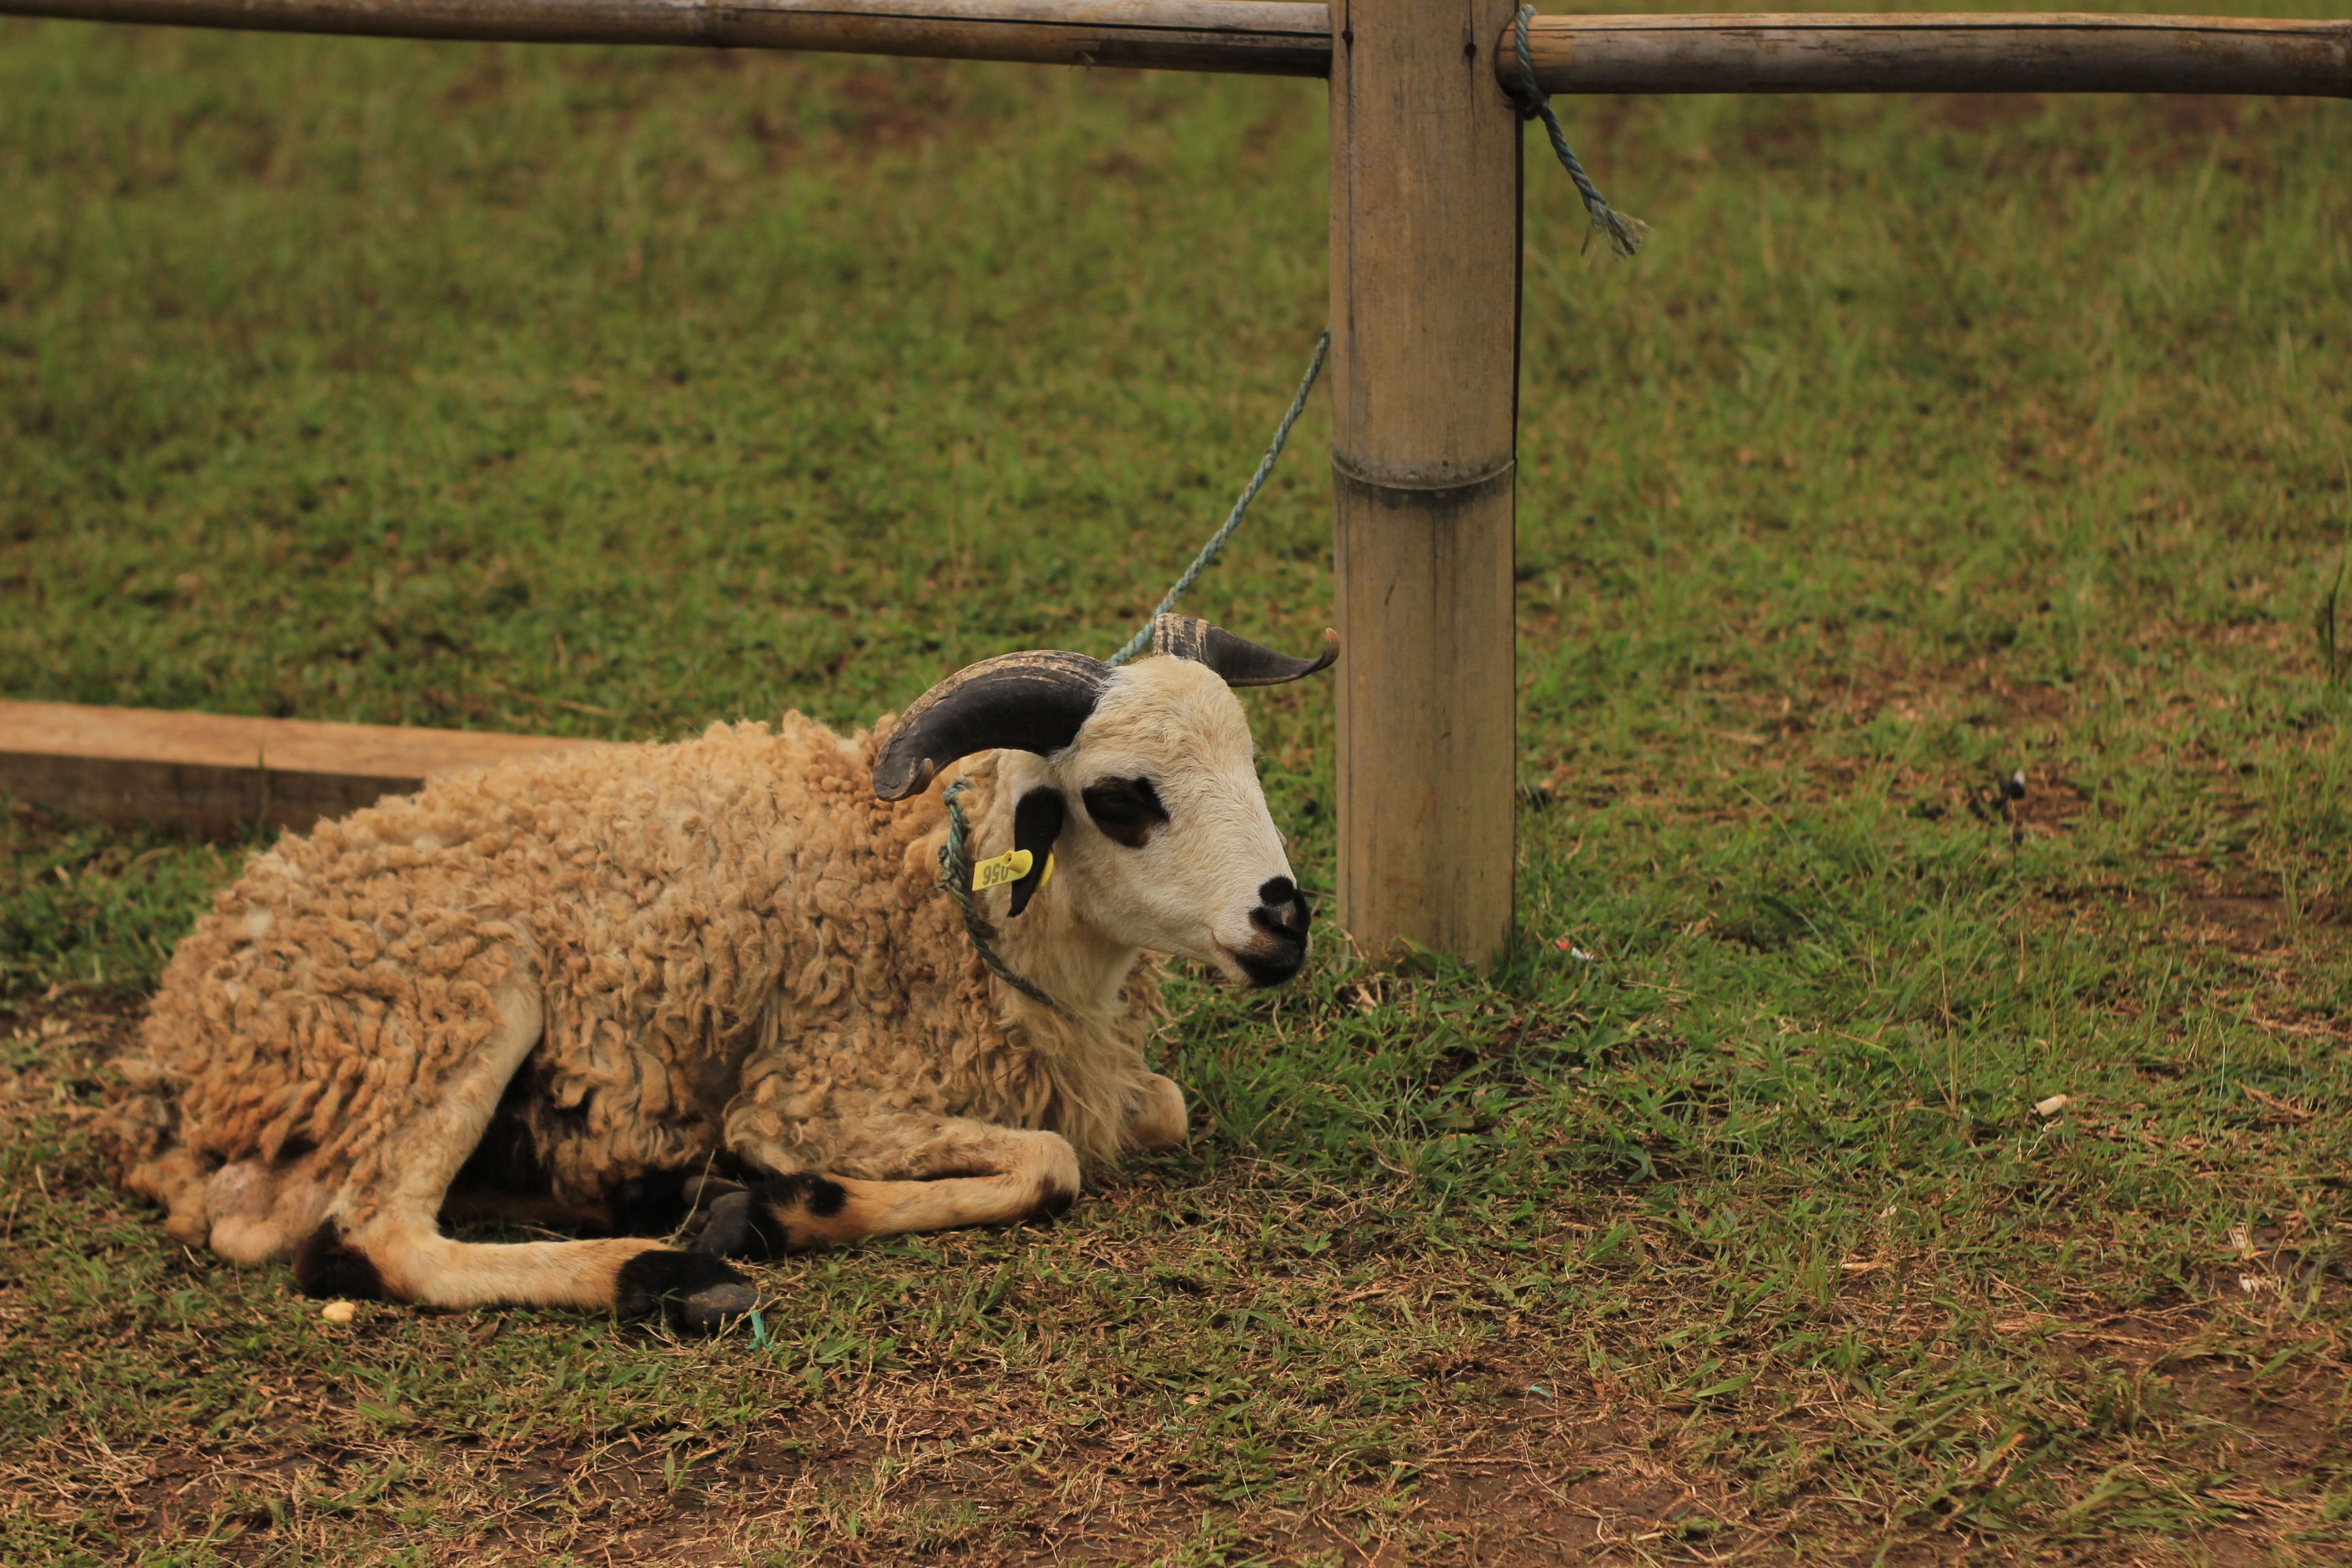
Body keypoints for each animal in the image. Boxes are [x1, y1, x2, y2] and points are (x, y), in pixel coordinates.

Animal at [101, 614, 1335, 1330]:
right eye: (1122, 798)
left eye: (1250, 762)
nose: (1285, 920)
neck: (931, 886)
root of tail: (175, 1050)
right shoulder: (813, 1094)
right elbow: (1049, 1163)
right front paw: (789, 1206)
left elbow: (1160, 1110)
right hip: (447, 1004)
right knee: (371, 1237)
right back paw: (664, 1270)